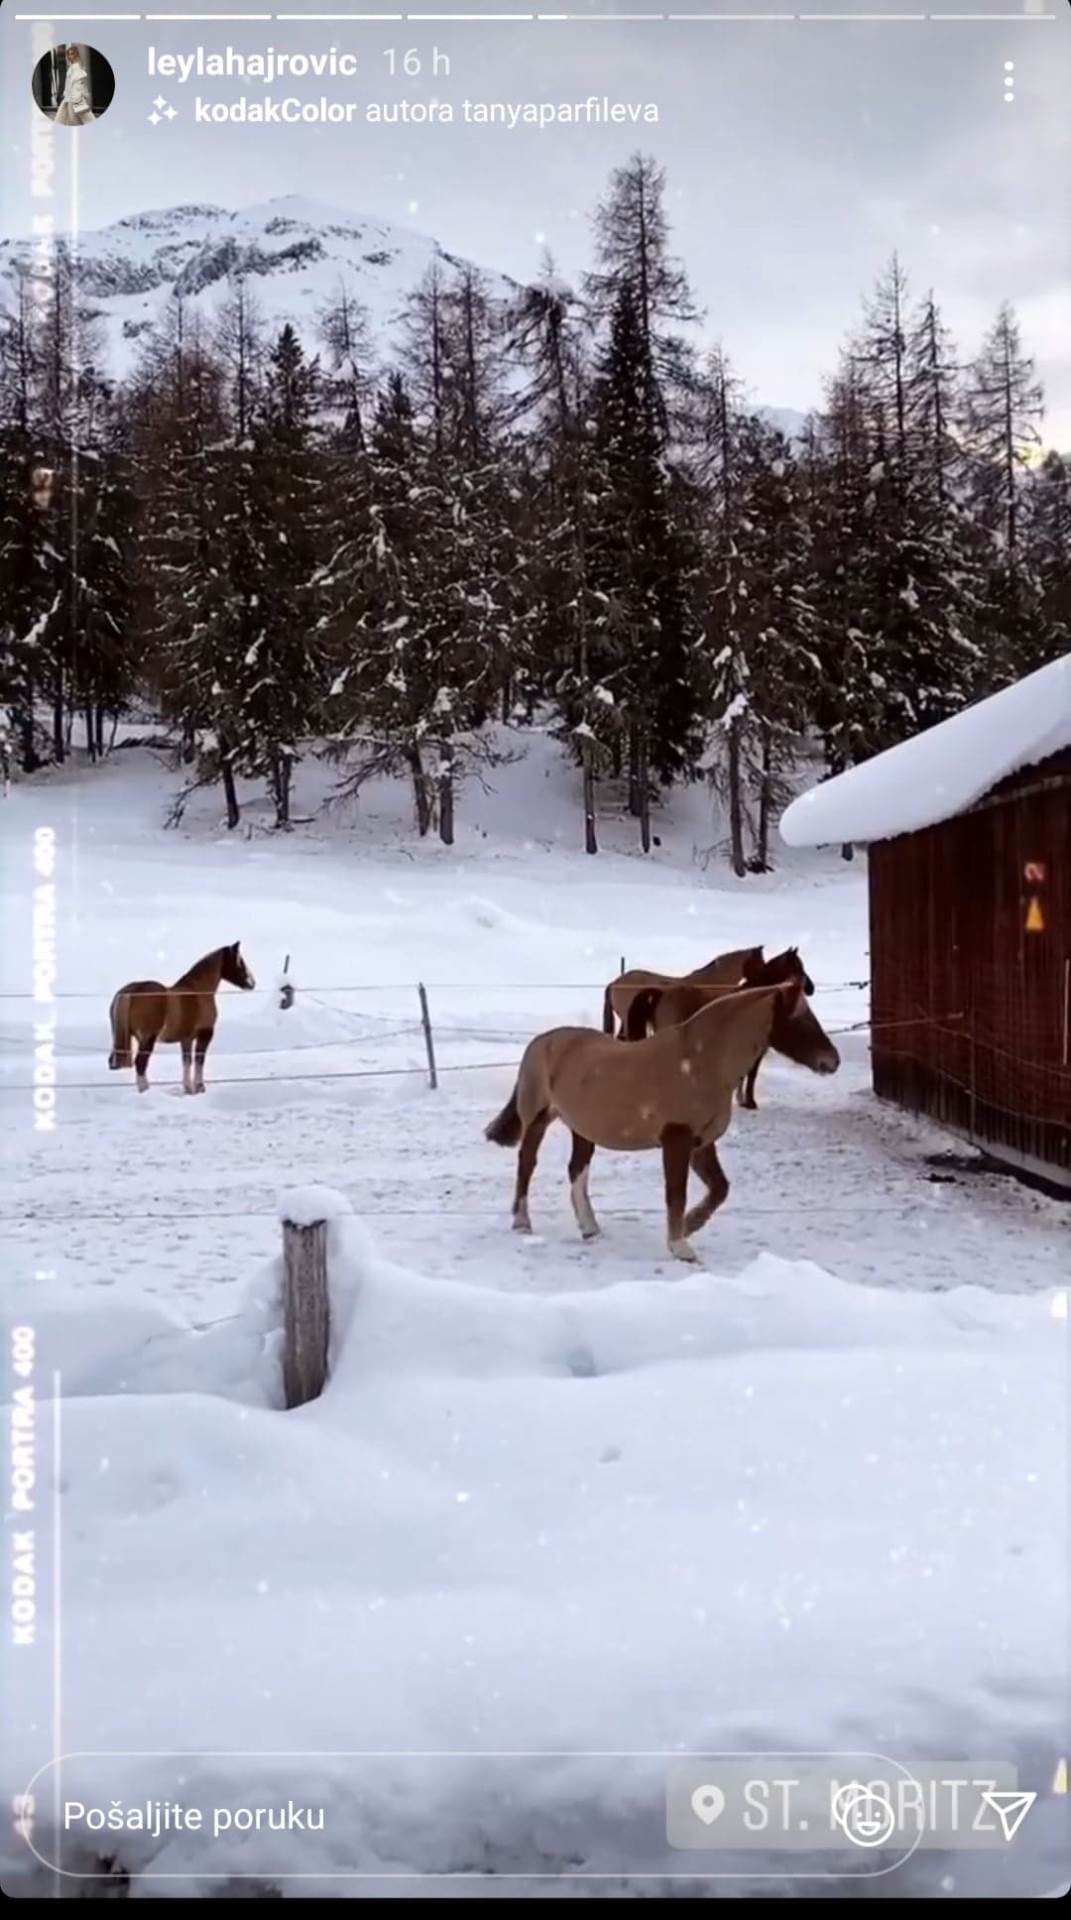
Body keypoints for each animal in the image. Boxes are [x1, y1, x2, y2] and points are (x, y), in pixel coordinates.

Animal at [107, 944, 259, 1098]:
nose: (251, 983)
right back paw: (146, 1091)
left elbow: (187, 1062)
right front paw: (200, 1088)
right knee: (141, 1064)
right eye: (240, 961)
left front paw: (188, 1089)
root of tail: (130, 992)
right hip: (147, 1038)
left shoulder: (186, 1039)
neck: (199, 991)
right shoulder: (205, 1035)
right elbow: (199, 1060)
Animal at [487, 983, 833, 1267]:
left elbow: (719, 1188)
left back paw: (590, 1229)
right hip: (537, 1120)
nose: (833, 1061)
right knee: (527, 1164)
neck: (702, 1062)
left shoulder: (701, 1143)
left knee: (576, 1170)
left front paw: (691, 1225)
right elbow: (676, 1194)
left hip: (582, 1128)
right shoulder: (676, 1139)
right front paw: (681, 1246)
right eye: (802, 1019)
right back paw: (522, 1222)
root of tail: (540, 1042)